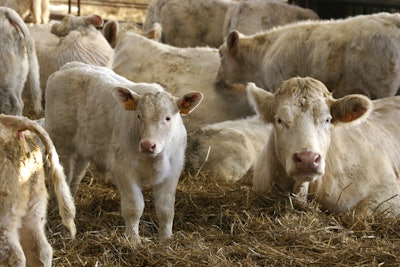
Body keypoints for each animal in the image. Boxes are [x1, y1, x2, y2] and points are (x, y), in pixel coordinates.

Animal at [44, 61, 203, 246]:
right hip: (61, 145)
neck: (153, 159)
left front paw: (166, 240)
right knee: (59, 180)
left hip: (82, 152)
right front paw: (133, 240)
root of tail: (69, 66)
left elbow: (166, 210)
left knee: (73, 181)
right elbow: (134, 208)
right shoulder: (124, 171)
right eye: (139, 116)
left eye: (168, 118)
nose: (148, 145)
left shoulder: (172, 173)